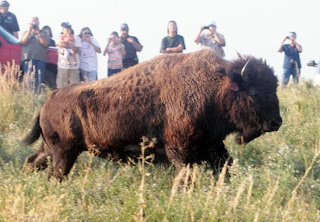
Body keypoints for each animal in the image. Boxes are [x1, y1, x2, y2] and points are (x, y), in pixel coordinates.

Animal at [23, 49, 282, 180]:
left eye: (274, 87)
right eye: (255, 92)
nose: (276, 122)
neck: (214, 86)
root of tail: (48, 100)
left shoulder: (213, 146)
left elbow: (225, 165)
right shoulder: (181, 150)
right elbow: (185, 177)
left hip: (52, 149)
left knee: (33, 162)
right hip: (64, 152)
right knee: (55, 173)